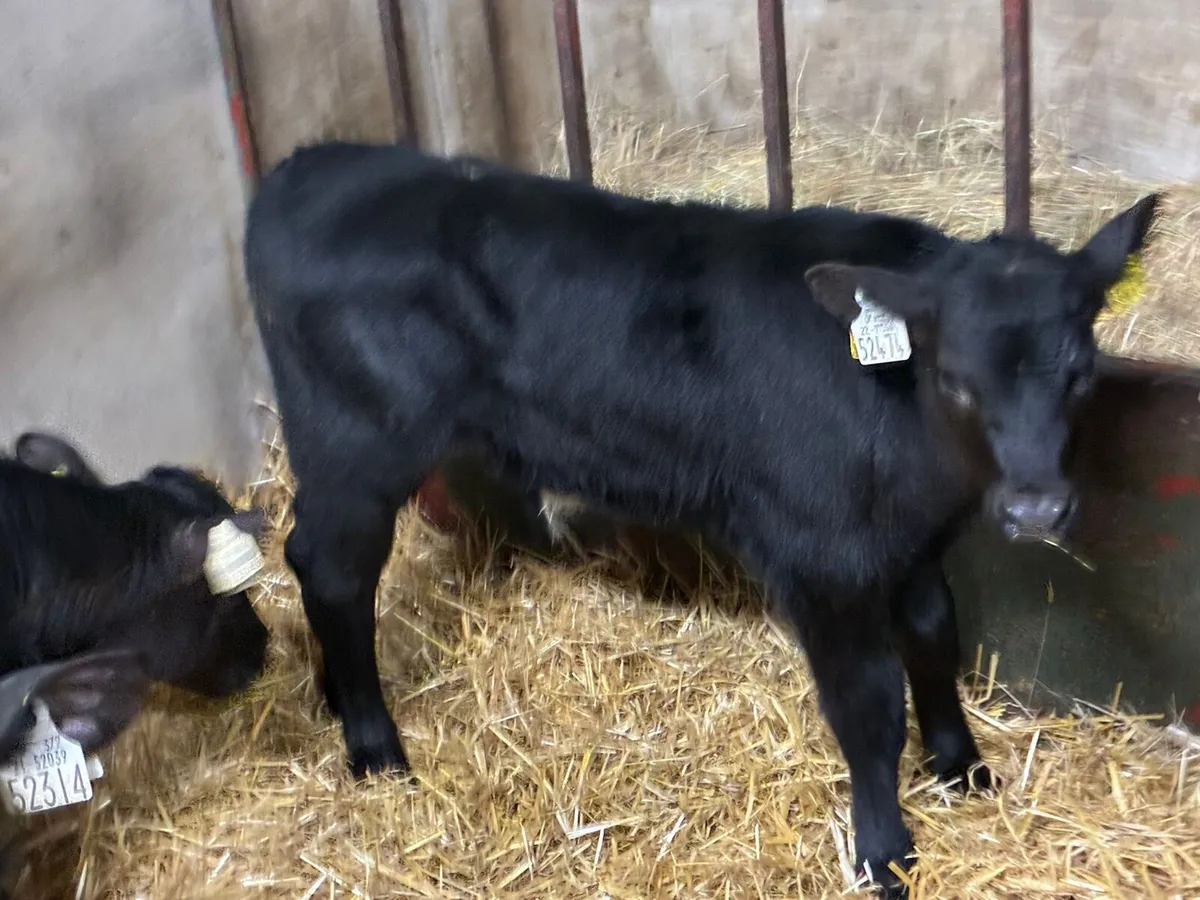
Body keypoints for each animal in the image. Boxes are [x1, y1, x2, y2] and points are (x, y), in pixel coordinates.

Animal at [243, 140, 1158, 897]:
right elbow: (866, 703)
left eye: (1082, 371)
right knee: (336, 569)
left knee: (309, 558)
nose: (1035, 507)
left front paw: (964, 770)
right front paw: (885, 853)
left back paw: (334, 697)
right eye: (958, 378)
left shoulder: (911, 541)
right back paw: (374, 749)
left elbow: (935, 638)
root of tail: (312, 165)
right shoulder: (819, 556)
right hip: (359, 441)